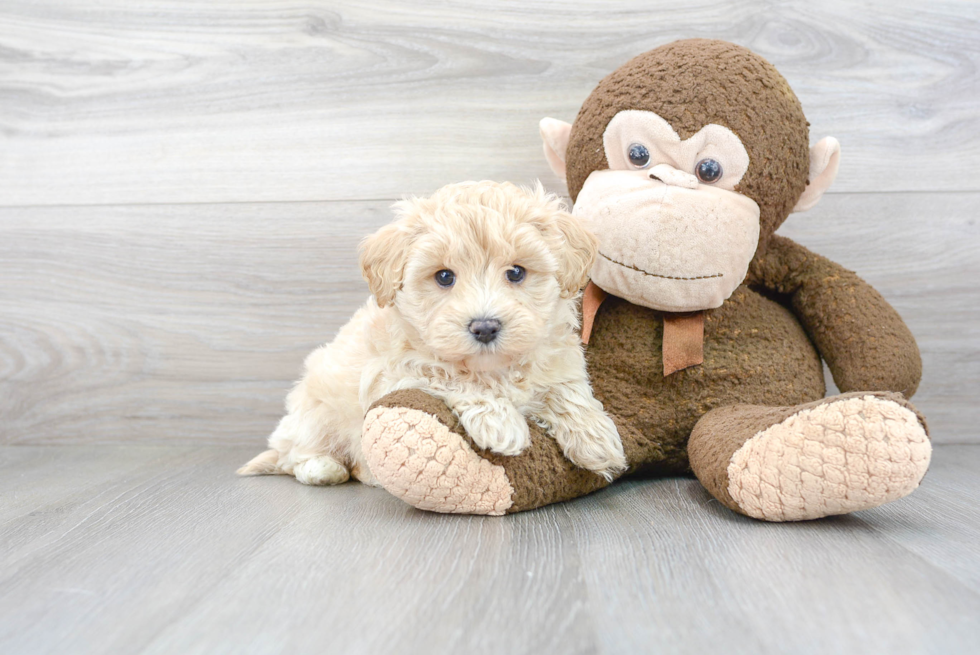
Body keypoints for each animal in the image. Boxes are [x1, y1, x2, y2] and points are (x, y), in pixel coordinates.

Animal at [241, 181, 632, 486]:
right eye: (444, 277)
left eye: (517, 272)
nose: (485, 327)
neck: (493, 368)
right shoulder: (392, 373)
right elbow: (447, 376)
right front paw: (499, 420)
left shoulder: (557, 357)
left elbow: (566, 389)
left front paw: (596, 437)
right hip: (313, 412)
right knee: (295, 454)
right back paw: (324, 468)